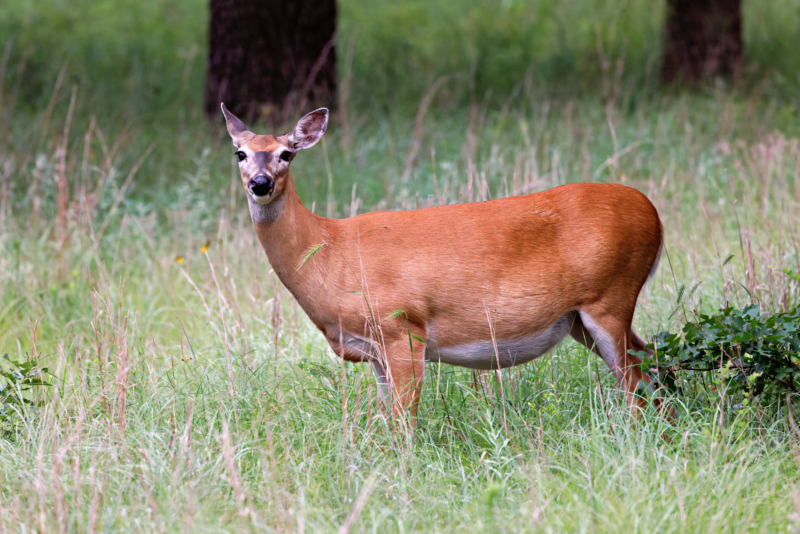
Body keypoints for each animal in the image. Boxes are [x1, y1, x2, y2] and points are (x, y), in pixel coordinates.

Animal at [219, 103, 664, 422]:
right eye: (240, 153)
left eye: (287, 154)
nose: (261, 183)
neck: (330, 250)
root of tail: (654, 216)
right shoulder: (375, 349)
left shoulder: (403, 327)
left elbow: (404, 422)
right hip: (578, 319)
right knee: (654, 364)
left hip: (610, 296)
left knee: (637, 382)